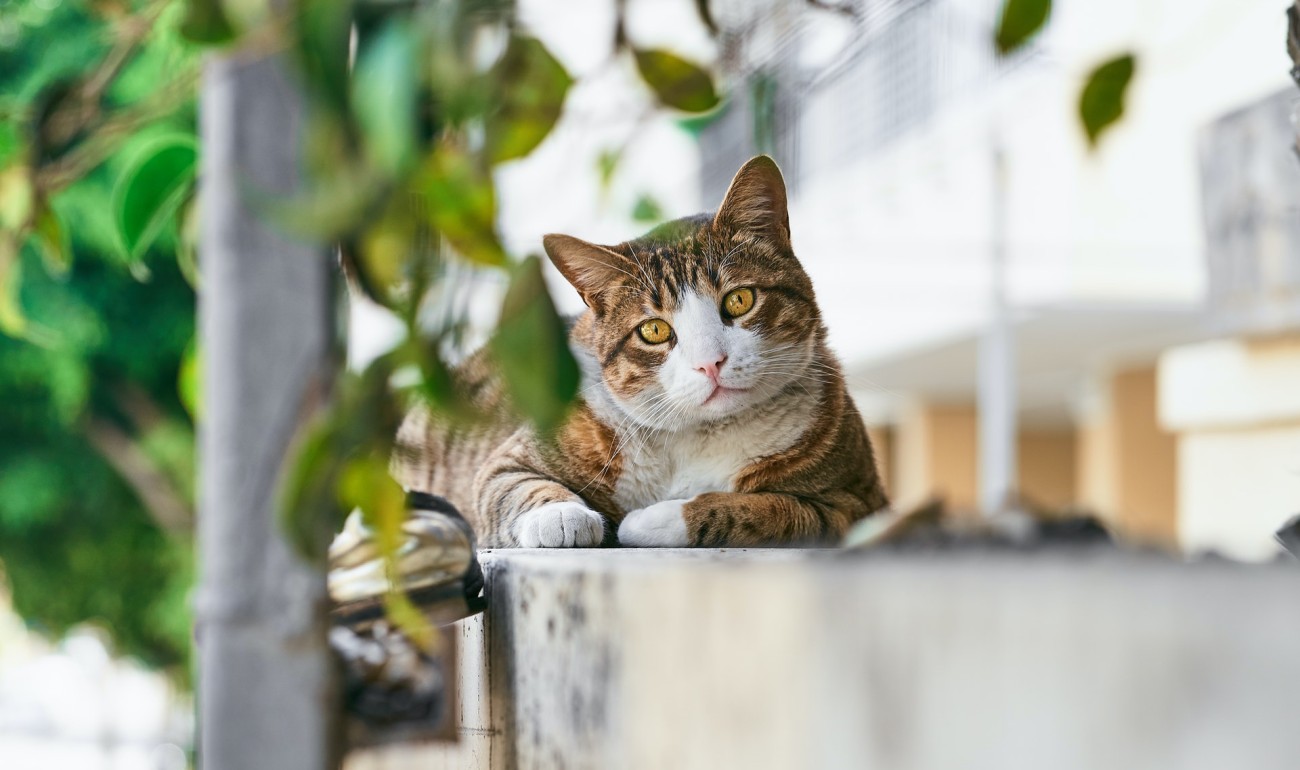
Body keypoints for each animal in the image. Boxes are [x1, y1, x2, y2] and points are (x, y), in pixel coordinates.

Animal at [390, 154, 889, 546]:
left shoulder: (855, 507)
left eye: (739, 300)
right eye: (653, 330)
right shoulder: (513, 457)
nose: (711, 363)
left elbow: (773, 509)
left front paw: (658, 519)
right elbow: (511, 483)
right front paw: (560, 516)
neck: (702, 433)